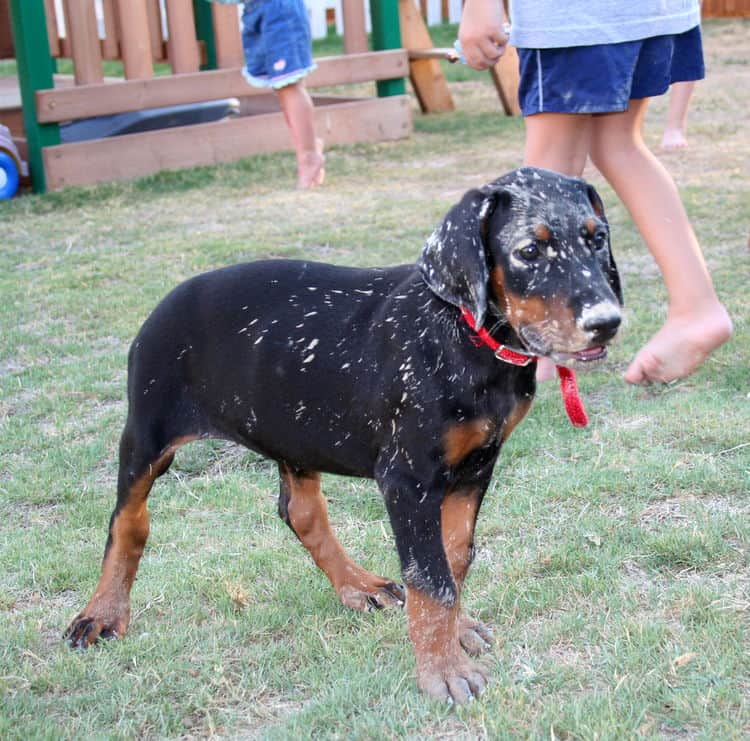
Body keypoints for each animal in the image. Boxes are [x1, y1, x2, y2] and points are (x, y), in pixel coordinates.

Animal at [66, 169, 624, 704]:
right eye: (529, 251)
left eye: (598, 238)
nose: (607, 322)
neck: (463, 332)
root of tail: (163, 304)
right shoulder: (407, 479)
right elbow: (431, 579)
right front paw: (442, 672)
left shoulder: (476, 468)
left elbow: (454, 559)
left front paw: (456, 632)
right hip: (147, 433)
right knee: (128, 521)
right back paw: (103, 613)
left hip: (292, 428)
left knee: (301, 512)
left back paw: (358, 585)